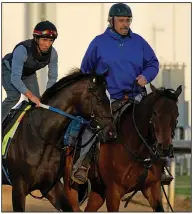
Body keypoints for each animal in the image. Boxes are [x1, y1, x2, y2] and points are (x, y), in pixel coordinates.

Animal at [63, 83, 182, 211]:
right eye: (155, 113)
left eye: (176, 114)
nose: (164, 148)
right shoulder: (113, 192)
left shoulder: (153, 188)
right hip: (71, 188)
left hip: (98, 189)